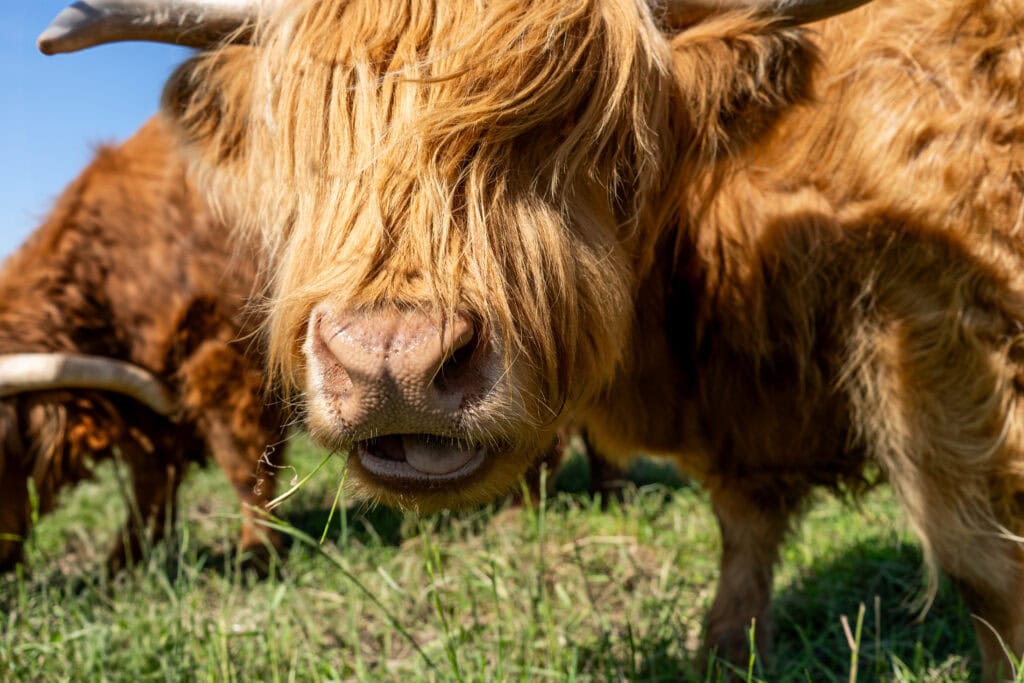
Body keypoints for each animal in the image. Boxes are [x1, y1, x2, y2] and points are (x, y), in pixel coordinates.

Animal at [0, 116, 285, 573]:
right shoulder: (147, 403)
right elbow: (151, 481)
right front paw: (123, 563)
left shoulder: (225, 355)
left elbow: (245, 463)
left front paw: (256, 553)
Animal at [39, 0, 1024, 678]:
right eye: (316, 143)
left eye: (584, 135)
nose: (391, 364)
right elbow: (742, 531)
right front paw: (723, 646)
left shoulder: (937, 328)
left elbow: (981, 565)